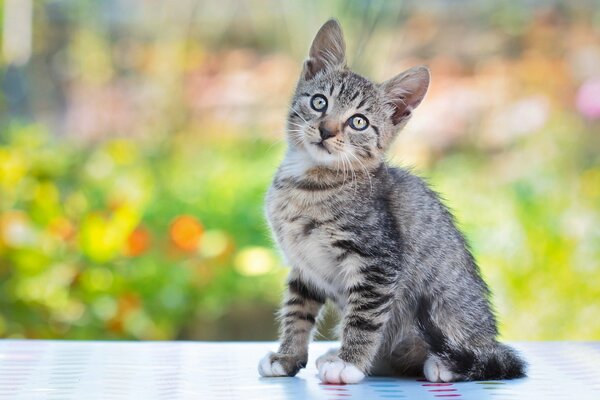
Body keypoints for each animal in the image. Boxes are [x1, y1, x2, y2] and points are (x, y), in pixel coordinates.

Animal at [258, 19, 524, 384]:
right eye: (319, 103)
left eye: (358, 122)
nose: (326, 130)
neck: (308, 183)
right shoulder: (304, 268)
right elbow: (296, 313)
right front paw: (287, 357)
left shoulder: (378, 262)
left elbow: (364, 318)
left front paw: (349, 363)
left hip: (454, 319)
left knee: (474, 356)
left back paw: (444, 364)